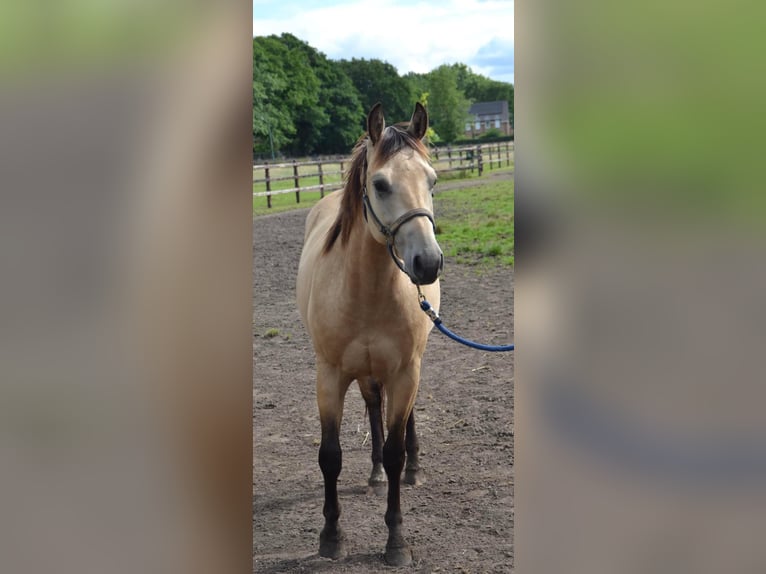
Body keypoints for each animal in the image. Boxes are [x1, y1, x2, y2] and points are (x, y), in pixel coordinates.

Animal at [298, 103, 444, 568]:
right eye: (380, 184)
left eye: (432, 180)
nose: (427, 263)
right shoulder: (329, 376)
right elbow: (330, 456)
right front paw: (331, 537)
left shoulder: (404, 371)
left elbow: (397, 447)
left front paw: (396, 541)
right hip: (363, 371)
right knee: (372, 405)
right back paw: (375, 472)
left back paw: (411, 469)